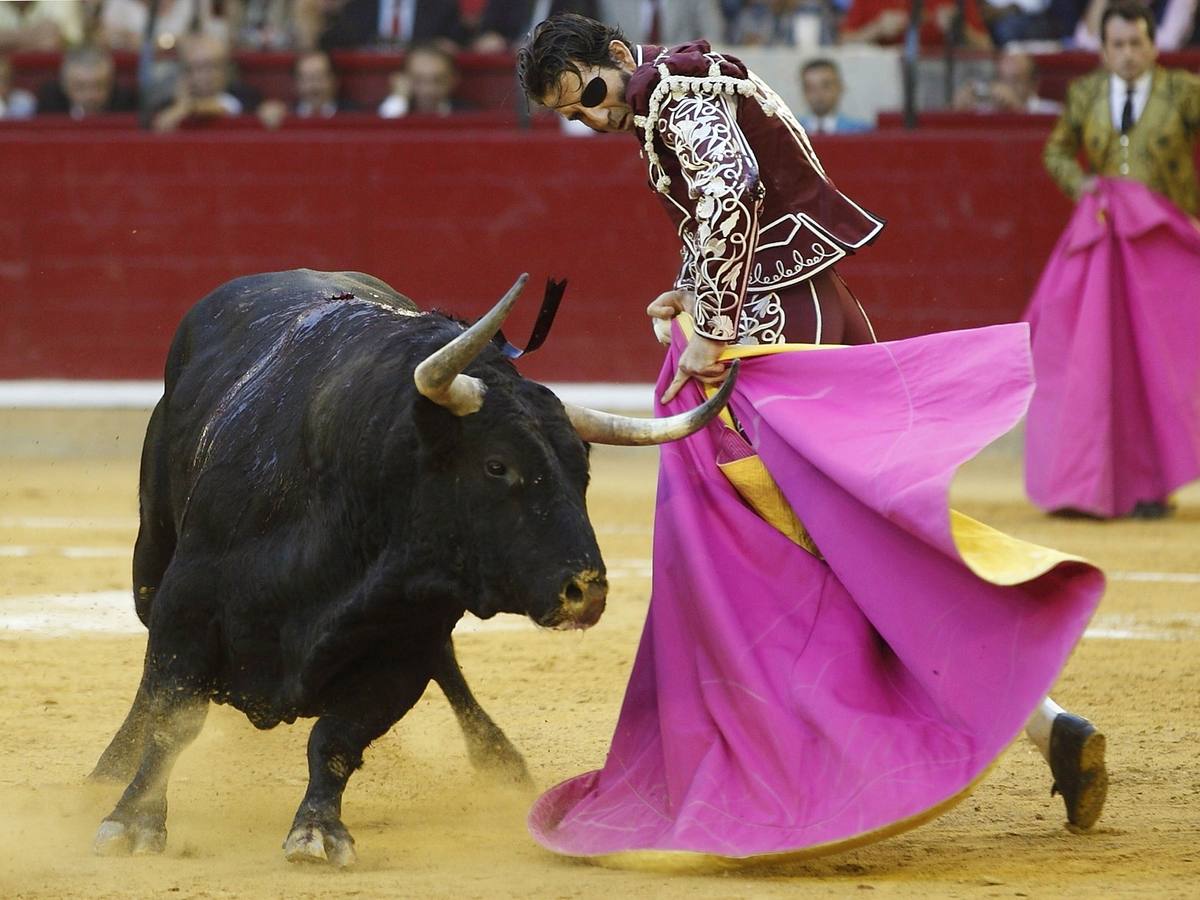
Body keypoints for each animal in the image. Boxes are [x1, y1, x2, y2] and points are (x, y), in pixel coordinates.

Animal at [91, 267, 729, 868]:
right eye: (496, 465)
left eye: (583, 470)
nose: (586, 591)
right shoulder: (187, 607)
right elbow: (172, 715)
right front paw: (132, 819)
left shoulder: (402, 647)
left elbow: (336, 739)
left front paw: (317, 831)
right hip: (152, 558)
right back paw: (108, 765)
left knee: (445, 667)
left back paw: (501, 762)